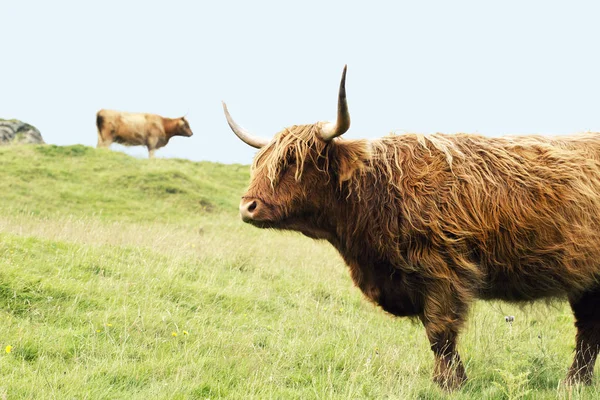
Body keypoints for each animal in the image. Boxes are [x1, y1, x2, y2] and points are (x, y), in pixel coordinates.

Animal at [221, 66, 600, 390]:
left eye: (295, 162)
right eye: (261, 163)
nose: (247, 206)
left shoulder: (444, 274)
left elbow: (440, 334)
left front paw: (450, 384)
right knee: (588, 329)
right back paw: (575, 384)